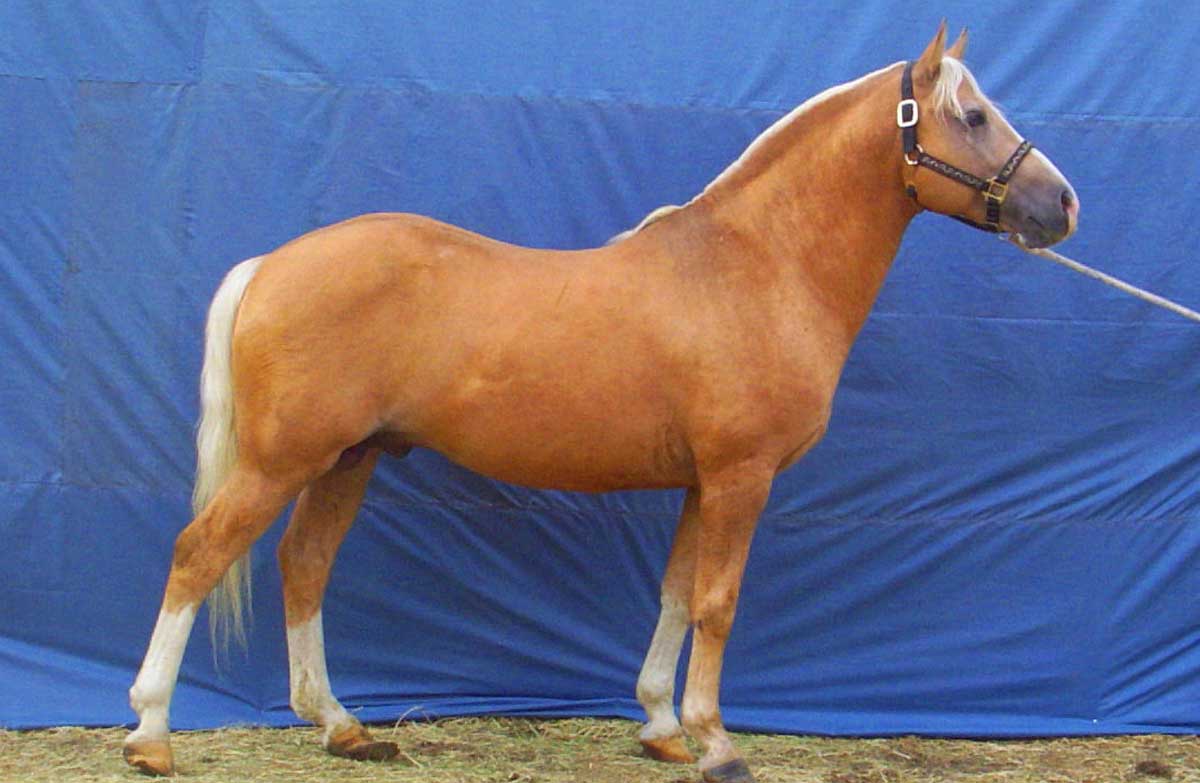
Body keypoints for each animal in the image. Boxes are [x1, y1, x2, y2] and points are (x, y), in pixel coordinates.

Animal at [123, 24, 1078, 783]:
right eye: (973, 115)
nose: (1060, 204)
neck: (757, 266)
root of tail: (272, 264)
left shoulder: (702, 483)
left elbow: (675, 593)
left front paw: (659, 725)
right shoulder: (741, 477)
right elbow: (718, 601)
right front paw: (717, 743)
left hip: (348, 460)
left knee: (305, 563)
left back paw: (342, 726)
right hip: (281, 461)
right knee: (198, 554)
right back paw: (152, 732)